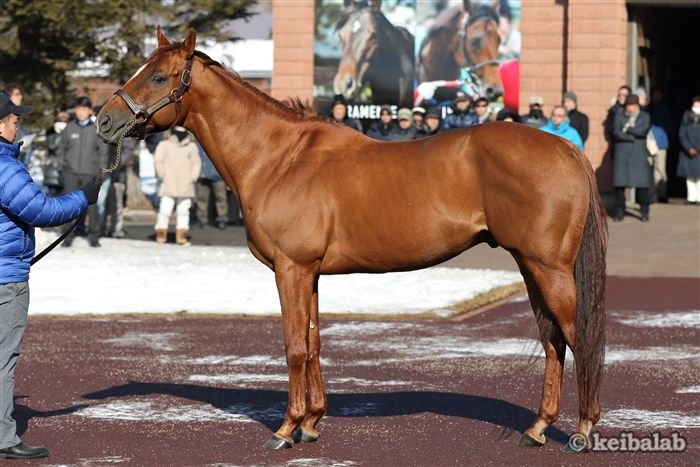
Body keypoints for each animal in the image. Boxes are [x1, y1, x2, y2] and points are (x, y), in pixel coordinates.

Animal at [95, 29, 604, 454]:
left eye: (157, 75)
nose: (104, 120)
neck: (277, 157)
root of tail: (567, 148)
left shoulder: (291, 268)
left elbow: (294, 346)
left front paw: (285, 430)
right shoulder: (311, 273)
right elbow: (314, 341)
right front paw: (312, 423)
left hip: (547, 268)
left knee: (577, 337)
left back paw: (581, 431)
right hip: (530, 266)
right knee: (553, 341)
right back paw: (537, 429)